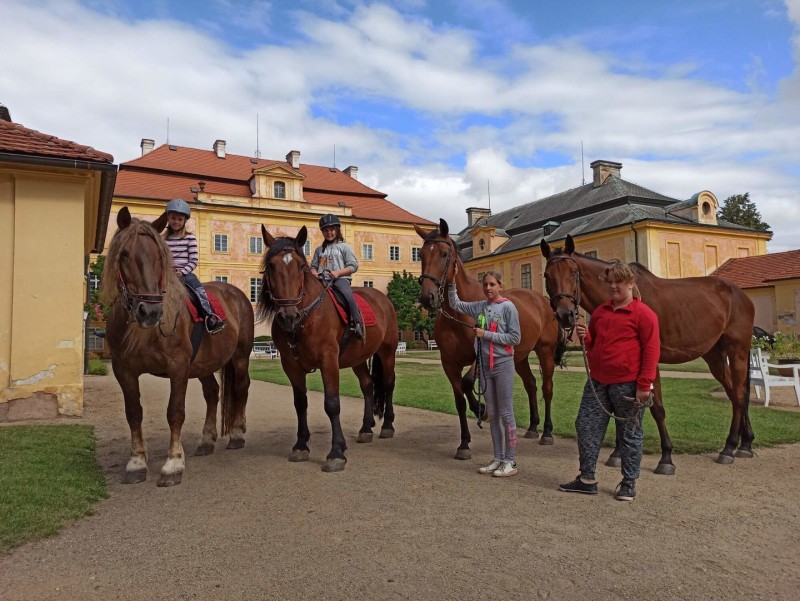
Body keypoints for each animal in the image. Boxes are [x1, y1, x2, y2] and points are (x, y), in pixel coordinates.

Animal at [99, 209, 252, 486]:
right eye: (124, 254)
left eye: (160, 256)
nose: (150, 311)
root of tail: (237, 293)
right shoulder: (123, 370)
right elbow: (133, 412)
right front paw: (136, 463)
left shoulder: (178, 366)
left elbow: (175, 412)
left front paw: (173, 464)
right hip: (204, 364)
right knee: (212, 393)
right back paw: (206, 440)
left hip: (240, 357)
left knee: (240, 388)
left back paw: (236, 434)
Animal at [260, 223, 400, 472]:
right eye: (271, 266)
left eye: (301, 267)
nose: (288, 316)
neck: (305, 318)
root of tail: (382, 298)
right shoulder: (291, 366)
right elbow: (300, 403)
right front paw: (301, 445)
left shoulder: (329, 360)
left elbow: (332, 404)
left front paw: (336, 452)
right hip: (358, 358)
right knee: (367, 385)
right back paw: (366, 428)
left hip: (387, 352)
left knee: (388, 383)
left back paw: (387, 426)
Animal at [416, 220, 564, 460]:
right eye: (420, 254)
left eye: (444, 254)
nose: (427, 297)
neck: (459, 314)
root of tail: (542, 300)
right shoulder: (449, 363)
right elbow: (459, 399)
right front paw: (464, 443)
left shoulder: (479, 356)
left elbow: (467, 383)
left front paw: (481, 410)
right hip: (519, 357)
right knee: (531, 385)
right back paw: (533, 427)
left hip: (545, 351)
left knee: (547, 388)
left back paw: (547, 433)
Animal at [536, 234, 756, 468]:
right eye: (547, 275)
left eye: (573, 272)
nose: (565, 315)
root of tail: (740, 294)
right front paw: (617, 453)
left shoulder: (649, 363)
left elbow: (656, 408)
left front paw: (666, 456)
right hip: (714, 355)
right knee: (734, 393)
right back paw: (745, 443)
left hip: (737, 351)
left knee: (739, 395)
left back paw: (729, 447)